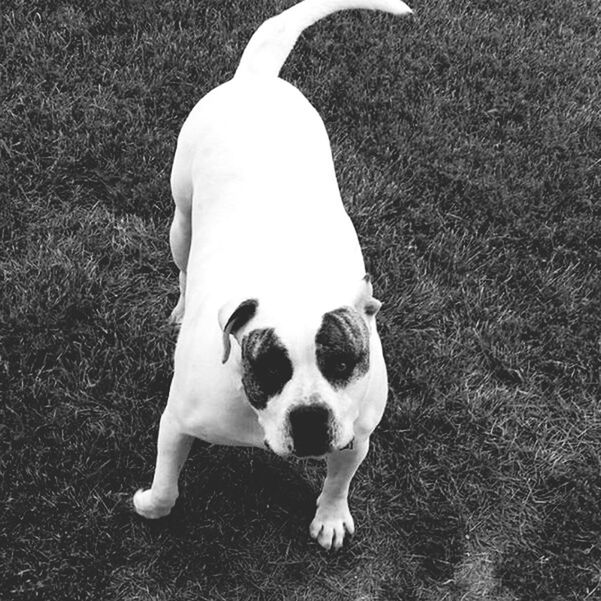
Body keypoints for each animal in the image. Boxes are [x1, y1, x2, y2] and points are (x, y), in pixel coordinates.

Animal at [133, 0, 410, 548]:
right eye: (271, 368)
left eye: (342, 362)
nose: (310, 417)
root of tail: (257, 78)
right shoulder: (178, 421)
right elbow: (167, 482)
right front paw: (152, 506)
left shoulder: (357, 435)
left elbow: (340, 477)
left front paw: (331, 516)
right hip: (181, 219)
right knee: (183, 263)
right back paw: (180, 308)